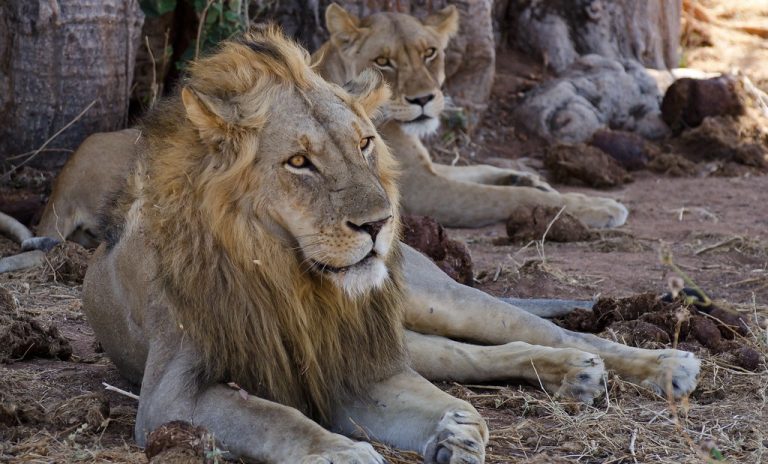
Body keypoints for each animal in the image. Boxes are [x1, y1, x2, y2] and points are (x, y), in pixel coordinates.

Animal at [82, 27, 488, 463]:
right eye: (298, 162)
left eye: (364, 143)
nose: (381, 223)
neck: (289, 278)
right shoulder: (168, 395)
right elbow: (276, 419)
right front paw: (344, 452)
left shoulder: (360, 365)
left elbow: (442, 404)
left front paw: (460, 430)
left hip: (441, 300)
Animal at [312, 3, 629, 229]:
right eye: (382, 61)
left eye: (429, 53)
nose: (423, 99)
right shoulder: (421, 190)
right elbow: (510, 198)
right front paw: (597, 207)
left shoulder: (427, 170)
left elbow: (475, 168)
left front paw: (524, 178)